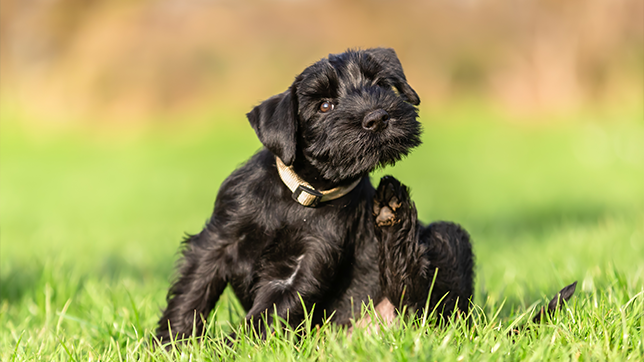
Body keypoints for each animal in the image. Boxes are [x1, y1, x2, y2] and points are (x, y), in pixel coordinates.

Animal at [157, 48, 472, 346]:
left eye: (380, 84)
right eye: (324, 105)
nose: (377, 118)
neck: (301, 195)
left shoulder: (307, 263)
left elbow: (265, 316)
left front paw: (226, 348)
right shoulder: (217, 241)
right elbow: (192, 293)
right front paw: (171, 343)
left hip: (448, 238)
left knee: (421, 304)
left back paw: (394, 212)